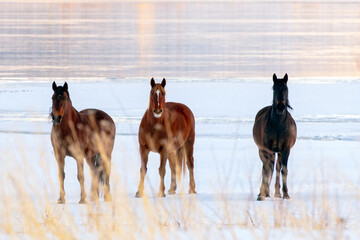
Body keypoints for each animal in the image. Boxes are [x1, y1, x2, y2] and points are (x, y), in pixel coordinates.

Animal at [252, 74, 296, 202]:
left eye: (285, 88)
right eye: (274, 88)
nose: (280, 107)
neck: (278, 126)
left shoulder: (285, 150)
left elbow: (283, 170)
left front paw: (286, 194)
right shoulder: (267, 149)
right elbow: (266, 169)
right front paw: (262, 194)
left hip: (279, 152)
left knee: (276, 168)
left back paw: (277, 193)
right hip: (263, 150)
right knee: (267, 167)